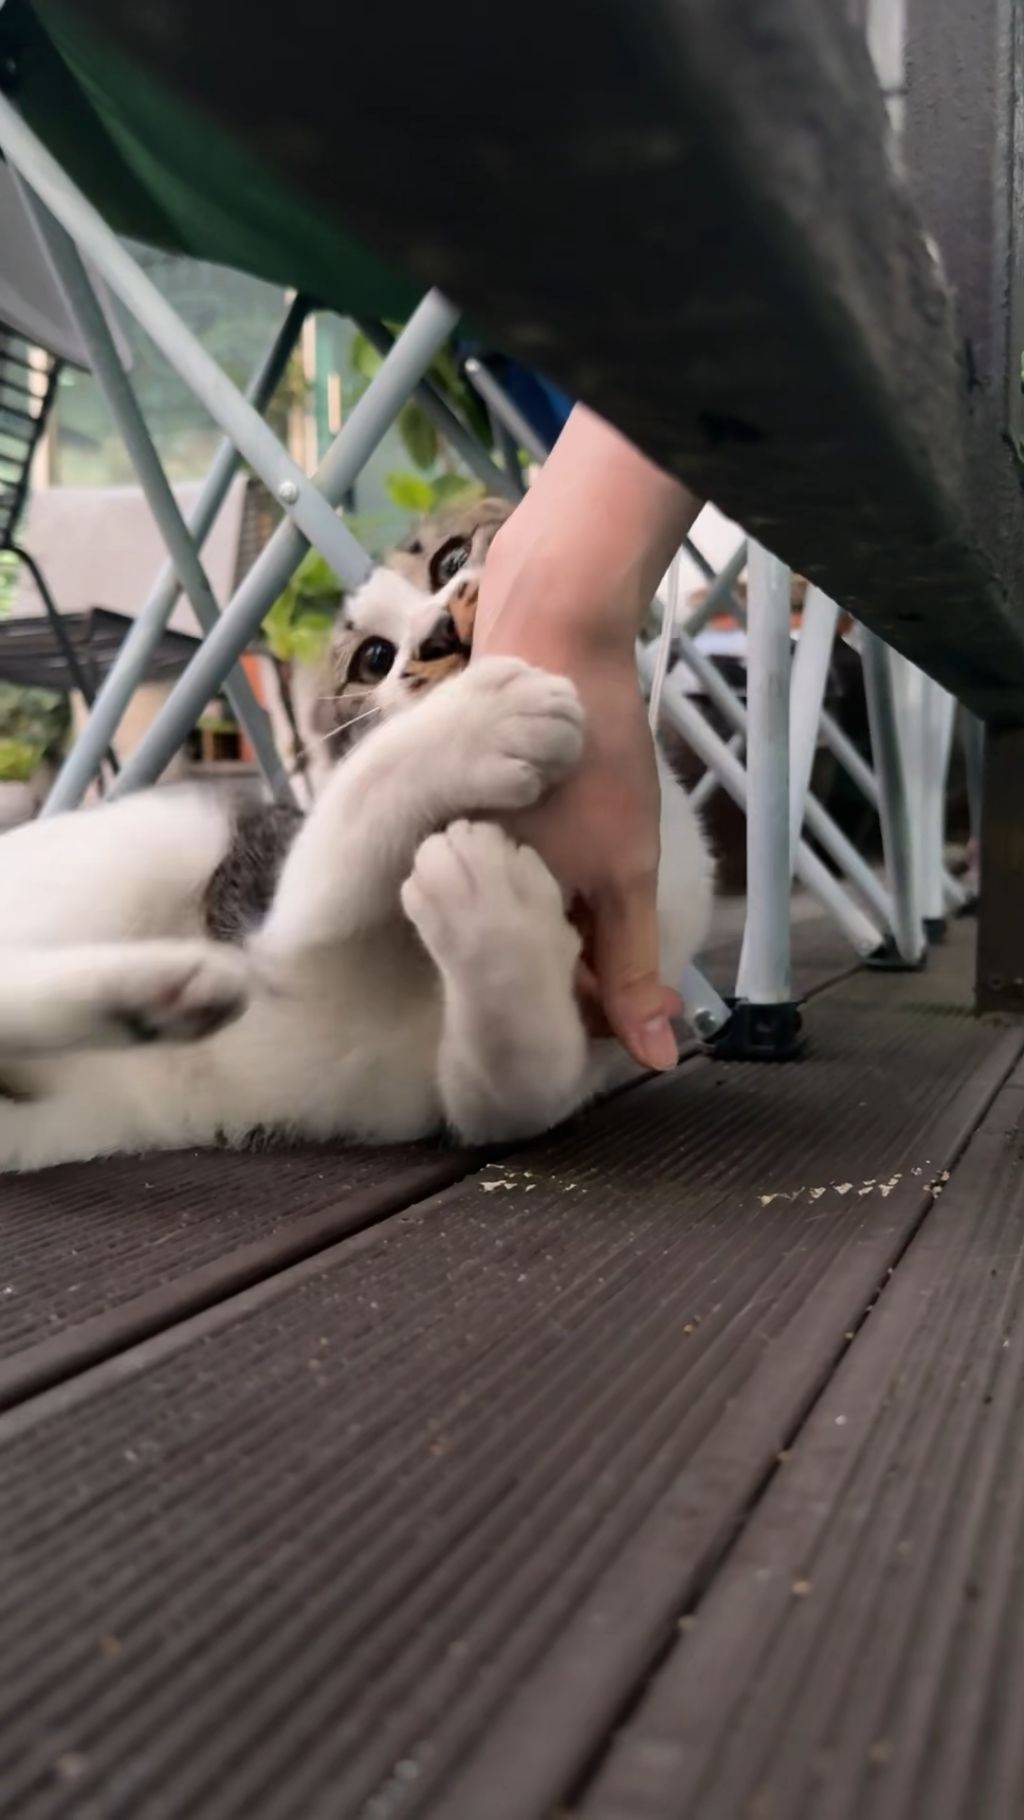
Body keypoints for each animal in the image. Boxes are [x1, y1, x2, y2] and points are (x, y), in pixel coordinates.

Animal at [0, 505, 712, 1172]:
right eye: (375, 658)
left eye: (451, 559)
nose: (439, 633)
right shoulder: (284, 930)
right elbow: (360, 792)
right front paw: (478, 722)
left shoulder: (548, 1055)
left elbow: (519, 1080)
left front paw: (492, 912)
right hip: (158, 841)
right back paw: (174, 981)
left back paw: (162, 998)